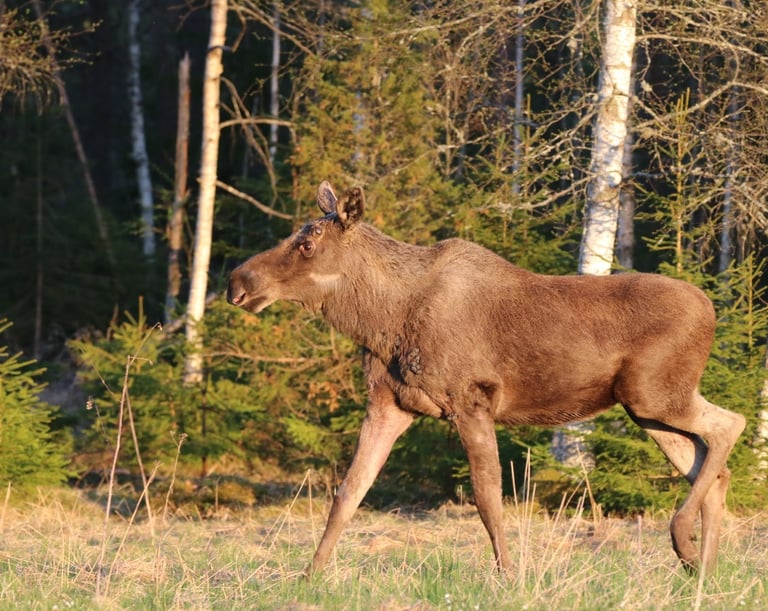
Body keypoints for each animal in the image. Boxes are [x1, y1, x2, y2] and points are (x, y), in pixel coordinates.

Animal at [227, 181, 745, 578]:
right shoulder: (389, 404)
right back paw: (704, 570)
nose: (237, 282)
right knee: (712, 465)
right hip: (649, 410)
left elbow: (487, 498)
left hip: (655, 394)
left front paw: (509, 575)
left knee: (730, 425)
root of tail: (713, 312)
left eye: (307, 244)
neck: (381, 319)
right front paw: (310, 575)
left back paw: (685, 543)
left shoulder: (471, 399)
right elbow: (348, 492)